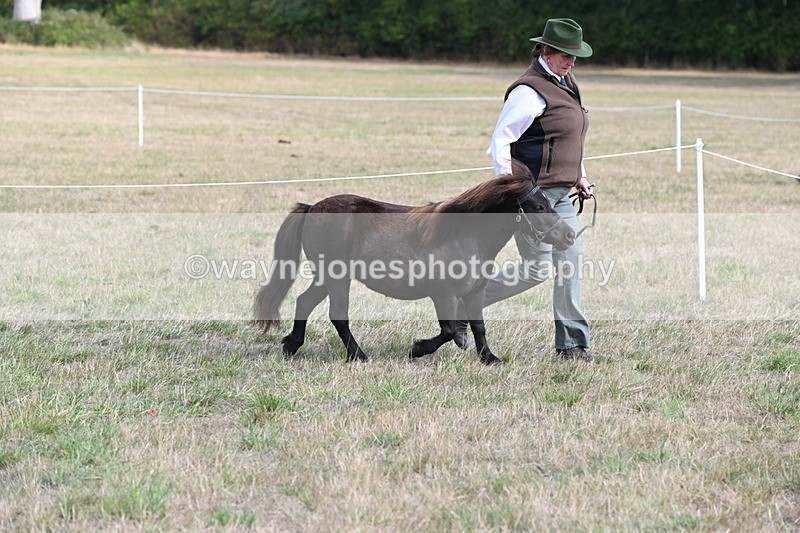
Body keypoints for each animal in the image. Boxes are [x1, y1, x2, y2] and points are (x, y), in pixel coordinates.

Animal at [254, 160, 576, 365]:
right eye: (538, 206)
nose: (569, 235)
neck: (466, 235)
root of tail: (311, 208)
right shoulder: (443, 294)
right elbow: (448, 330)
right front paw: (417, 349)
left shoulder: (475, 292)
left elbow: (478, 326)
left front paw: (490, 358)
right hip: (336, 278)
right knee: (338, 315)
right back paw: (358, 356)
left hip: (325, 278)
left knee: (304, 302)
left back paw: (291, 346)